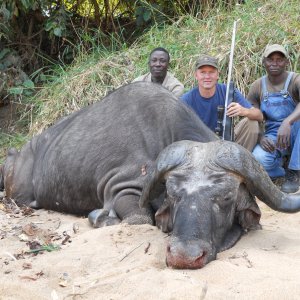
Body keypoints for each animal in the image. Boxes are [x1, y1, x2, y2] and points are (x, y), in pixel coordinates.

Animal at [0, 82, 300, 270]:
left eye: (226, 198)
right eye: (173, 195)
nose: (184, 257)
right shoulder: (122, 189)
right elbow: (140, 218)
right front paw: (100, 218)